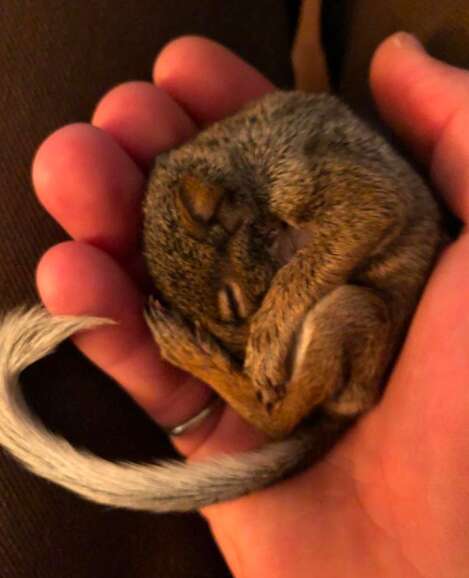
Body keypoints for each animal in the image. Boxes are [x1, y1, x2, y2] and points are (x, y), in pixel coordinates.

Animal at [0, 90, 442, 508]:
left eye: (232, 300)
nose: (243, 355)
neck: (248, 169)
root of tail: (352, 406)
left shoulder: (308, 177)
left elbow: (360, 218)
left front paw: (266, 341)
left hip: (349, 311)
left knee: (276, 422)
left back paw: (200, 359)